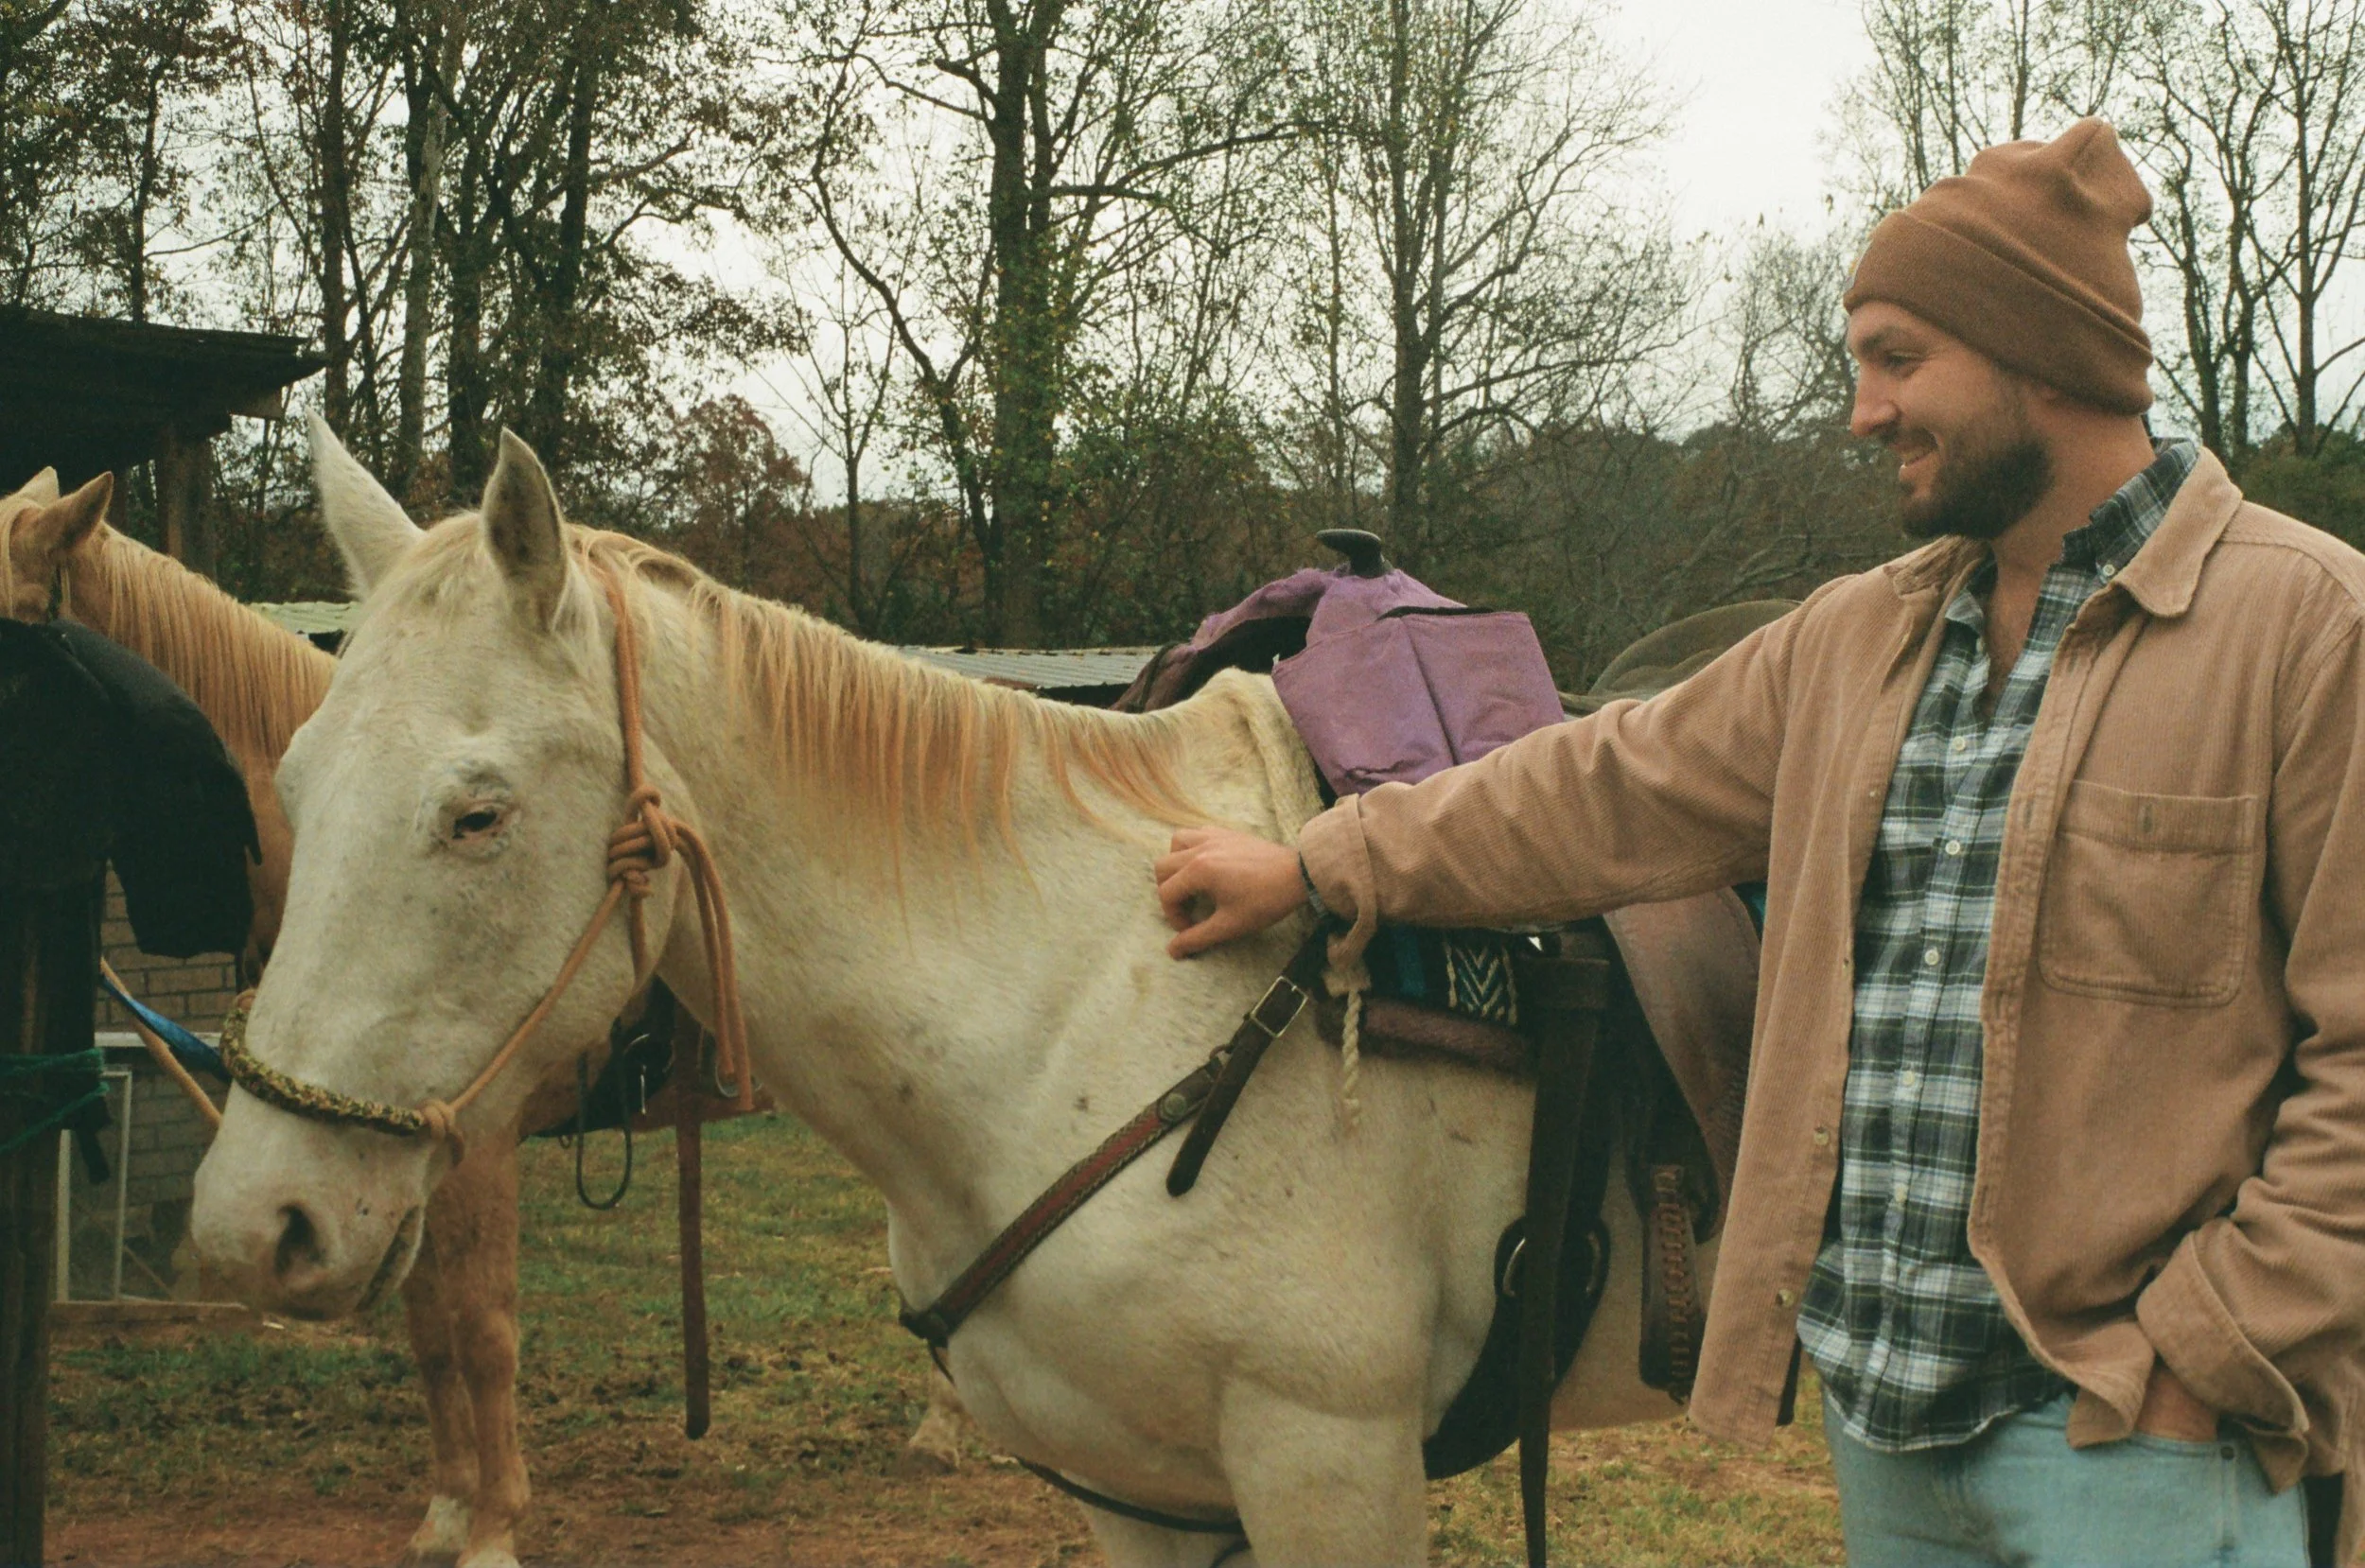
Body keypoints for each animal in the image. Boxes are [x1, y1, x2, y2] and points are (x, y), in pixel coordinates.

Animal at [0, 461, 965, 1564]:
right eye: (294, 789)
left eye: (475, 817)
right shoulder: (389, 1167)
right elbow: (428, 1326)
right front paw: (449, 1507)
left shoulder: (478, 1138)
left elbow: (484, 1328)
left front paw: (496, 1522)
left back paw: (943, 1427)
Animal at [186, 427, 1711, 1566]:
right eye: (296, 784)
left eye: (479, 815)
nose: (255, 1223)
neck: (1086, 1001)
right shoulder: (1148, 1492)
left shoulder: (1331, 1464)